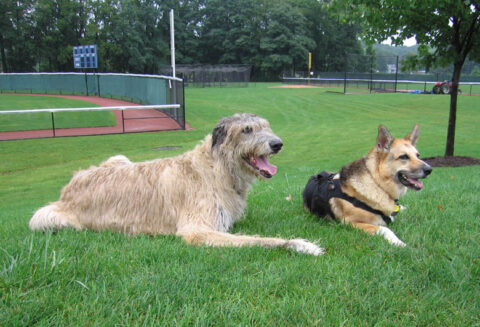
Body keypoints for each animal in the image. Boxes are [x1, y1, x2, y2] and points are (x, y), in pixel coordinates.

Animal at [28, 114, 324, 256]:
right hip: (45, 218)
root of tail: (67, 188)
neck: (216, 170)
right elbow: (258, 240)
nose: (277, 144)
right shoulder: (198, 229)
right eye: (246, 130)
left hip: (118, 158)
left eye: (265, 126)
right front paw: (300, 244)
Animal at [302, 124, 434, 247]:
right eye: (404, 157)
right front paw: (399, 243)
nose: (429, 170)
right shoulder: (350, 223)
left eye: (418, 155)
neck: (377, 183)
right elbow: (385, 229)